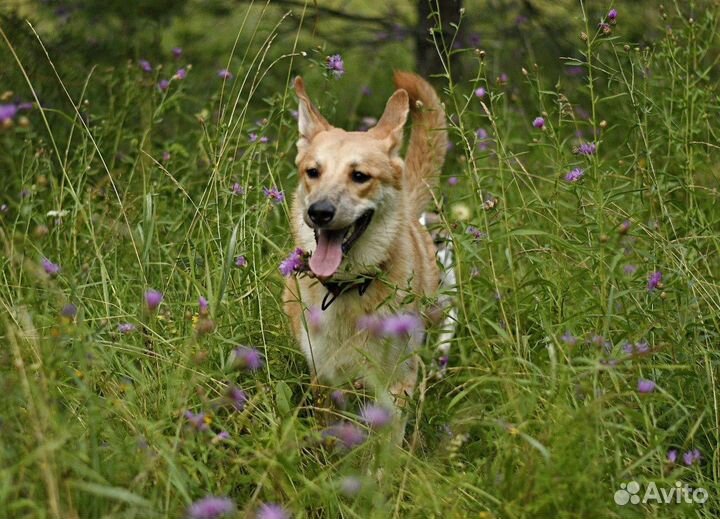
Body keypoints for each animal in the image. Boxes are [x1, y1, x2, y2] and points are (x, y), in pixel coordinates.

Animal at [282, 71, 450, 424]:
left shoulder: (398, 379)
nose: (319, 211)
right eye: (313, 172)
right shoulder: (324, 376)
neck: (347, 288)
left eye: (359, 175)